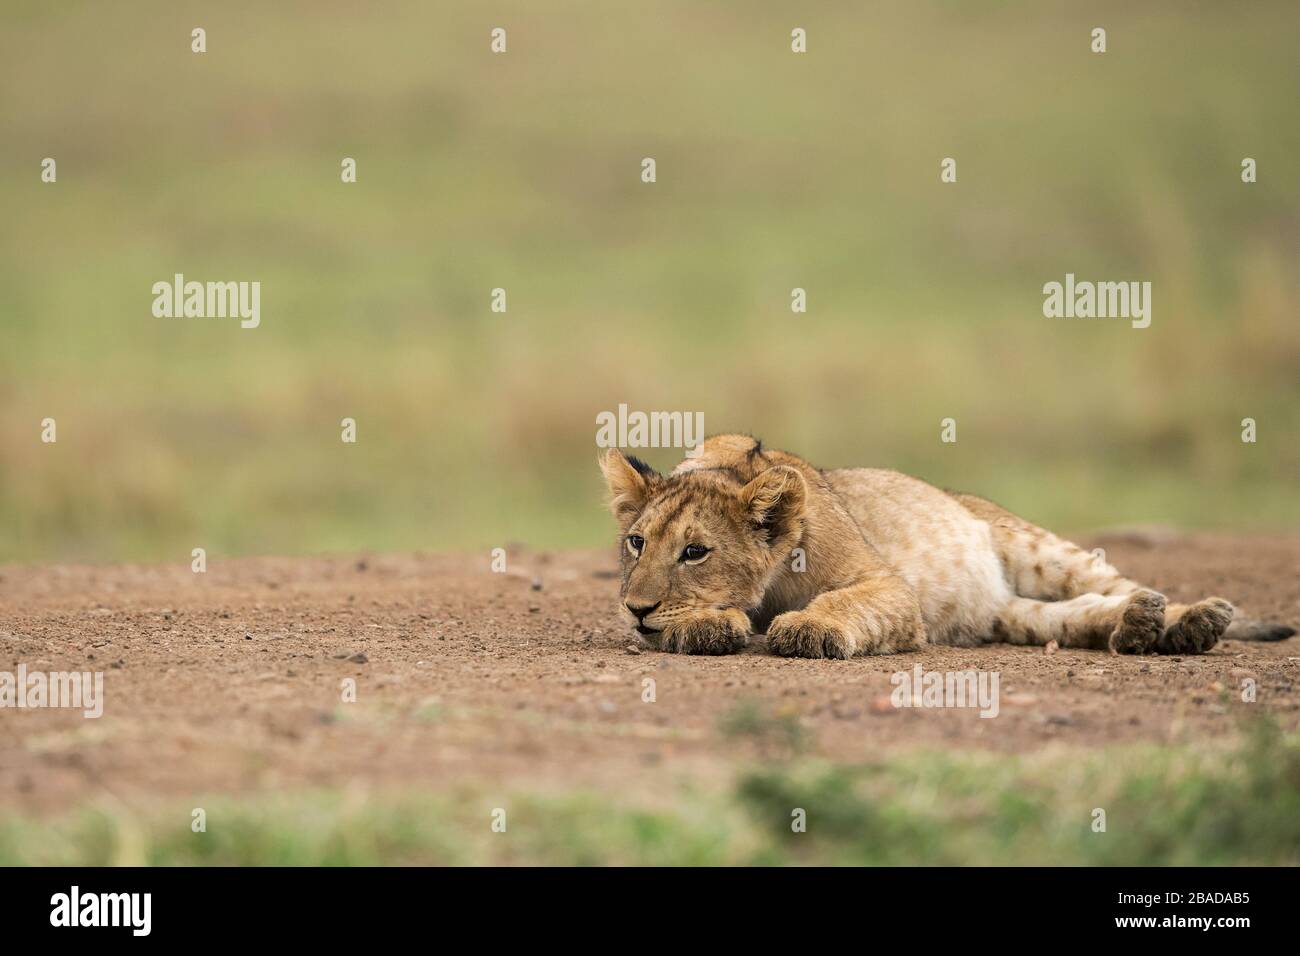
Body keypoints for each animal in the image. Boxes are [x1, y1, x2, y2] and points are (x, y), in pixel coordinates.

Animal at [599, 434, 1295, 657]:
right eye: (636, 543)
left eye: (695, 552)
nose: (635, 608)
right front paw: (705, 625)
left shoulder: (889, 587)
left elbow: (845, 604)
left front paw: (809, 630)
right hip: (1015, 615)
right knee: (1076, 616)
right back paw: (1136, 628)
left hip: (1039, 548)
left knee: (1125, 584)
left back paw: (1192, 621)